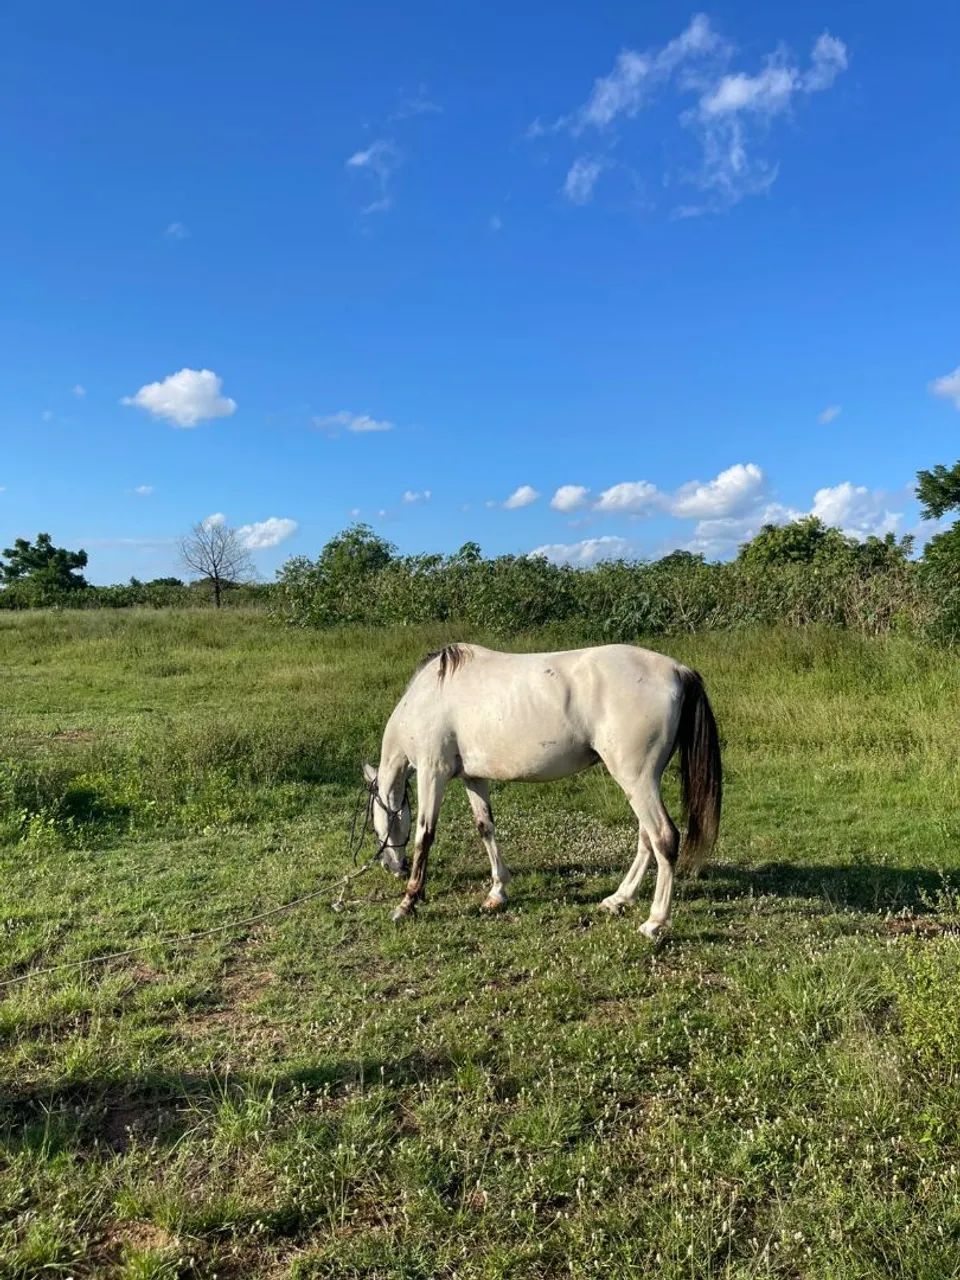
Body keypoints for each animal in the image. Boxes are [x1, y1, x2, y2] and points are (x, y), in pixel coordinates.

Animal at [362, 642, 722, 938]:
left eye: (377, 822)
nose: (392, 867)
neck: (429, 696)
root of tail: (677, 670)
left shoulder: (431, 772)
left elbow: (424, 836)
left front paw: (408, 902)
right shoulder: (473, 777)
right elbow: (485, 827)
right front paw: (497, 892)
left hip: (636, 779)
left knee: (664, 838)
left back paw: (654, 922)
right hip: (645, 782)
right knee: (647, 839)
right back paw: (618, 899)